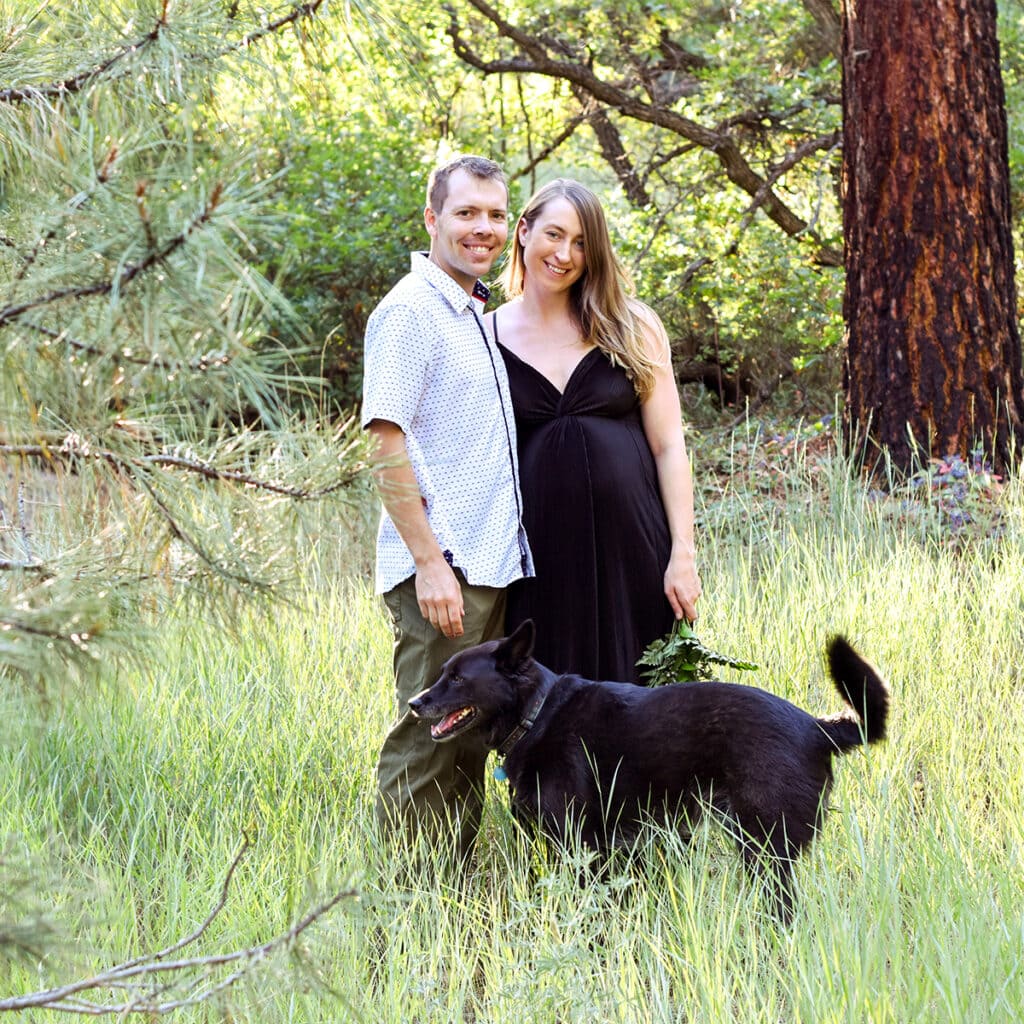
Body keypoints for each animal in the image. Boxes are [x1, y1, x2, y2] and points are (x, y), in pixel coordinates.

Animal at [407, 618, 888, 925]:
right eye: (443, 673)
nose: (414, 703)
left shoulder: (579, 844)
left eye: (458, 679)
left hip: (765, 848)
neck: (537, 713)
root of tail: (818, 728)